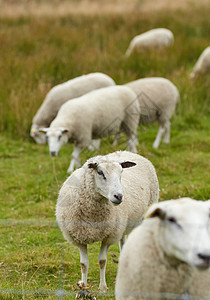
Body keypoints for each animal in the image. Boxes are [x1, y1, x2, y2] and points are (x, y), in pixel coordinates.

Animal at [55, 150, 159, 290]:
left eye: (121, 172)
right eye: (100, 172)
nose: (118, 196)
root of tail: (127, 151)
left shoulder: (109, 236)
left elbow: (102, 261)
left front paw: (103, 287)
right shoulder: (79, 236)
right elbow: (84, 263)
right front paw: (84, 285)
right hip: (121, 226)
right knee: (123, 242)